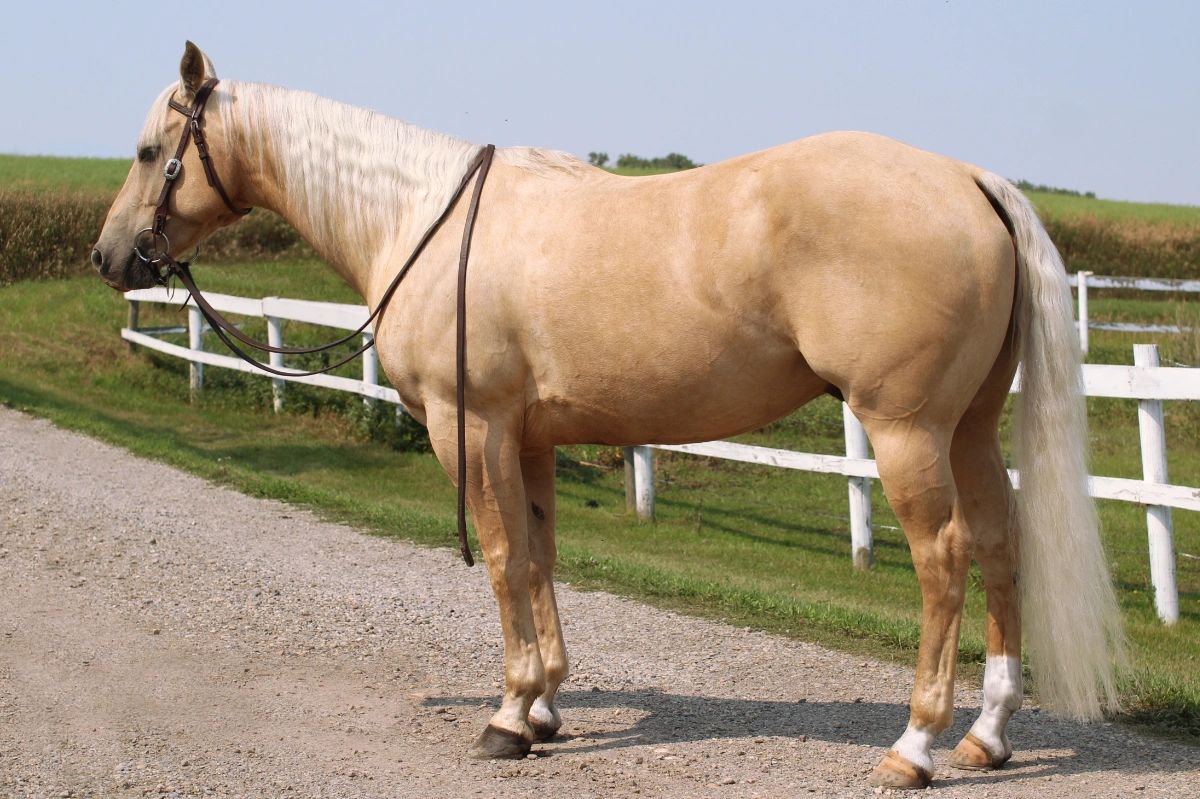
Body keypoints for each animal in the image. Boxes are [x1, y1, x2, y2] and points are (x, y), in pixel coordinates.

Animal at [92, 42, 1125, 789]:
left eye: (148, 153)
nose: (109, 255)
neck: (419, 218)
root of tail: (968, 177)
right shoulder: (528, 437)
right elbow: (542, 557)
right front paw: (547, 705)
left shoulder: (469, 429)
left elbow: (502, 560)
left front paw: (508, 717)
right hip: (970, 428)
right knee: (1001, 544)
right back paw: (986, 735)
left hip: (907, 430)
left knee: (944, 558)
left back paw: (914, 745)